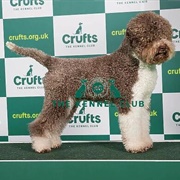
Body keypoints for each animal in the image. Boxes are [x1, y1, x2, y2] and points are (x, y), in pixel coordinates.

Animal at [6, 11, 174, 153]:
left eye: (164, 33)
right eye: (148, 36)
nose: (163, 47)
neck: (137, 62)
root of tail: (53, 62)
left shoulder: (143, 100)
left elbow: (143, 123)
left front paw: (146, 142)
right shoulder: (128, 101)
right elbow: (133, 126)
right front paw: (136, 146)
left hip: (68, 103)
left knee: (55, 124)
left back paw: (53, 142)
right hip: (57, 99)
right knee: (40, 123)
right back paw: (41, 146)